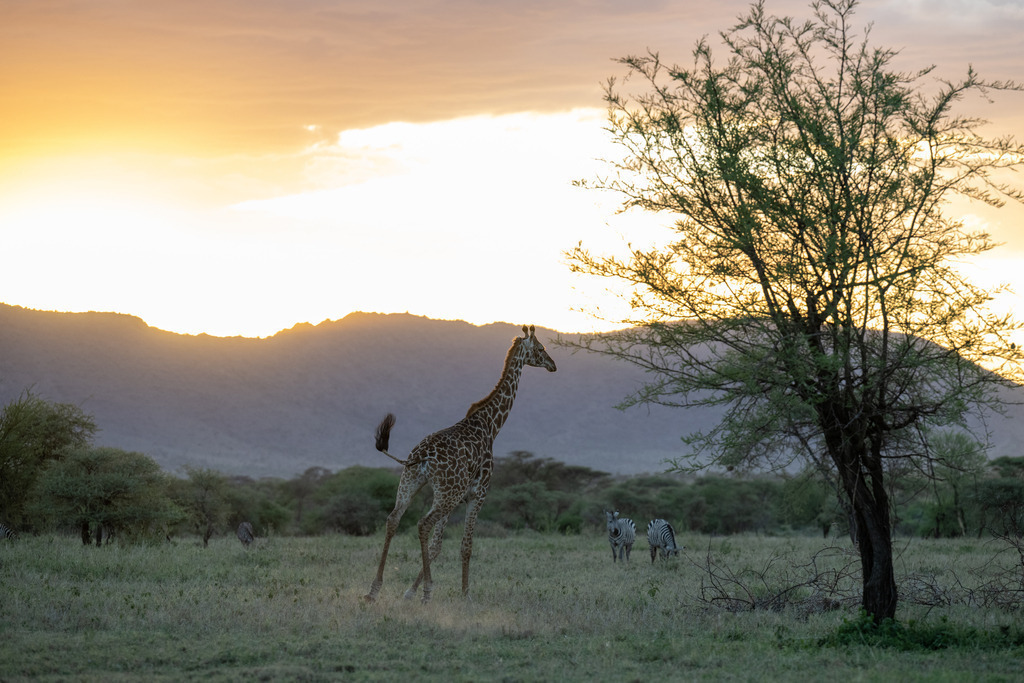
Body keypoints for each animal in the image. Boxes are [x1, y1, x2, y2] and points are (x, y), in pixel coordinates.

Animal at [363, 324, 556, 604]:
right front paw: (466, 595)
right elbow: (466, 546)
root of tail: (422, 456)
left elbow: (437, 546)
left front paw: (410, 592)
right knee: (422, 524)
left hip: (412, 482)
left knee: (393, 519)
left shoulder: (460, 497)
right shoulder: (478, 493)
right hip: (446, 493)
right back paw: (428, 590)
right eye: (541, 348)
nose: (553, 365)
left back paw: (373, 590)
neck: (491, 425)